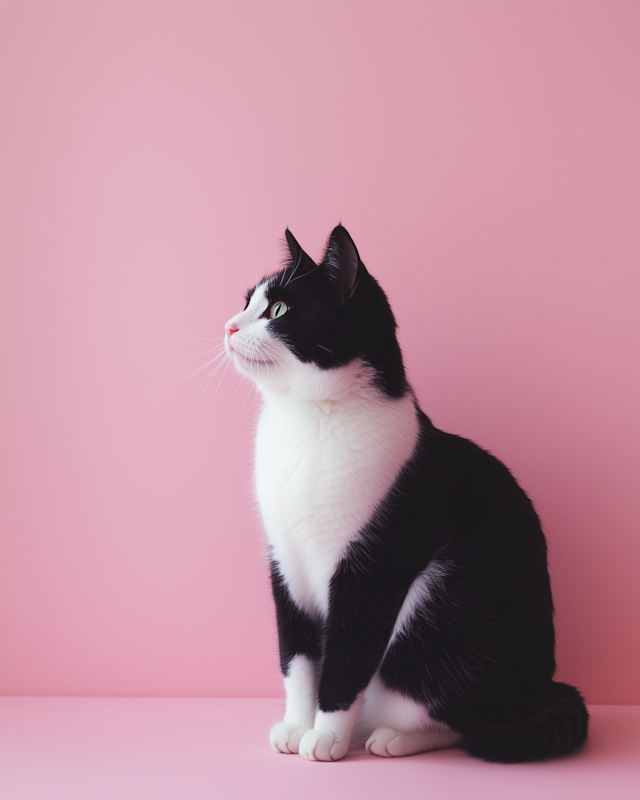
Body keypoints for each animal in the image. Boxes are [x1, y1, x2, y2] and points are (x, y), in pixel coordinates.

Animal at [225, 225, 592, 764]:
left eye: (278, 310)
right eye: (247, 302)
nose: (229, 327)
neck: (307, 419)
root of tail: (542, 686)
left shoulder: (375, 565)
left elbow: (346, 657)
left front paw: (327, 736)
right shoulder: (284, 560)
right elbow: (297, 656)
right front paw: (297, 724)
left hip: (442, 605)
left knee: (461, 717)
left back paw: (397, 737)